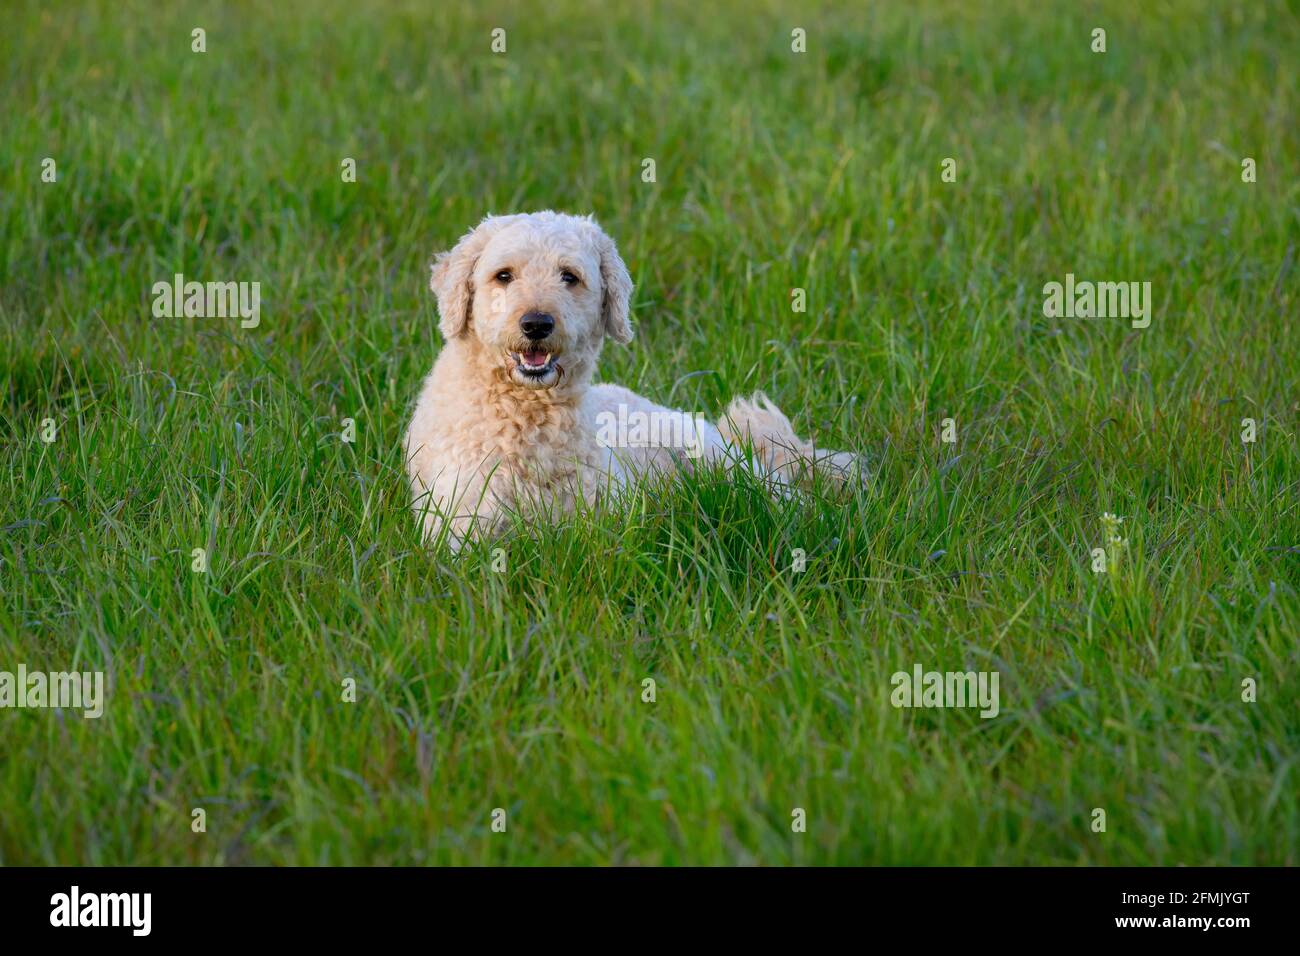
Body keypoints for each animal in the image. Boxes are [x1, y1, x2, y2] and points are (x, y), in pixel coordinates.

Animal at [400, 212, 857, 548]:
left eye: (569, 276)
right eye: (504, 275)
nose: (536, 324)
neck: (527, 416)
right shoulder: (458, 526)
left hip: (719, 461)